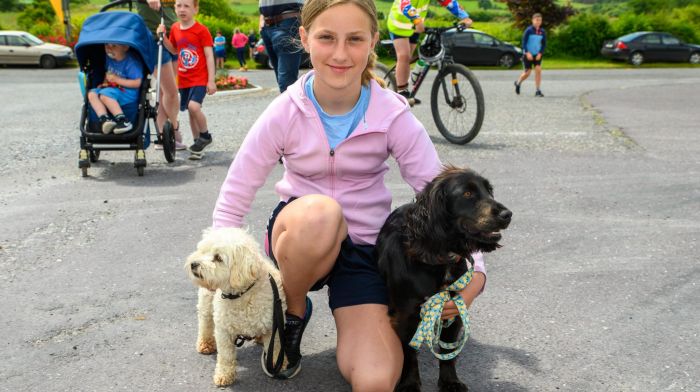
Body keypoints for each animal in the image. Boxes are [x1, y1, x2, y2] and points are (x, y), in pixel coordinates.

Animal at [186, 227, 288, 386]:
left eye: (218, 258)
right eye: (203, 251)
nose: (194, 264)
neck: (242, 294)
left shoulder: (274, 326)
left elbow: (276, 346)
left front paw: (279, 363)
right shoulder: (223, 330)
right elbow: (225, 356)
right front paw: (224, 375)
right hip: (206, 303)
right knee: (205, 322)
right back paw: (205, 343)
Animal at [378, 166, 516, 392]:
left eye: (489, 190)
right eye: (467, 193)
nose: (507, 214)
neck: (440, 258)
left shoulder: (454, 307)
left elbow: (447, 353)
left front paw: (450, 381)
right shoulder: (404, 315)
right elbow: (409, 353)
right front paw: (409, 383)